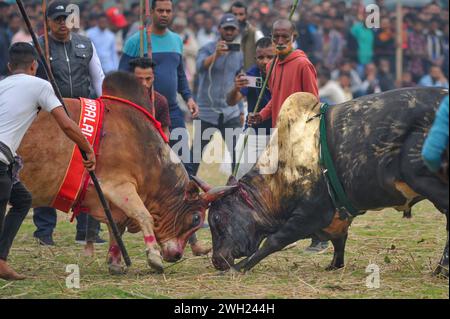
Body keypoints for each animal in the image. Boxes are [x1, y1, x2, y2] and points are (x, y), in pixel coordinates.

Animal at [17, 72, 225, 276]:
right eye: (196, 217)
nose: (176, 255)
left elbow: (117, 228)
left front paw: (115, 262)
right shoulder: (117, 185)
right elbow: (143, 215)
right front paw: (154, 257)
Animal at [198, 87, 450, 278]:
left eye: (217, 218)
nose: (217, 260)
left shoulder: (310, 214)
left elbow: (273, 241)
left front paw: (238, 269)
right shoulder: (335, 219)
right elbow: (339, 241)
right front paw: (334, 265)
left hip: (420, 176)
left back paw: (441, 270)